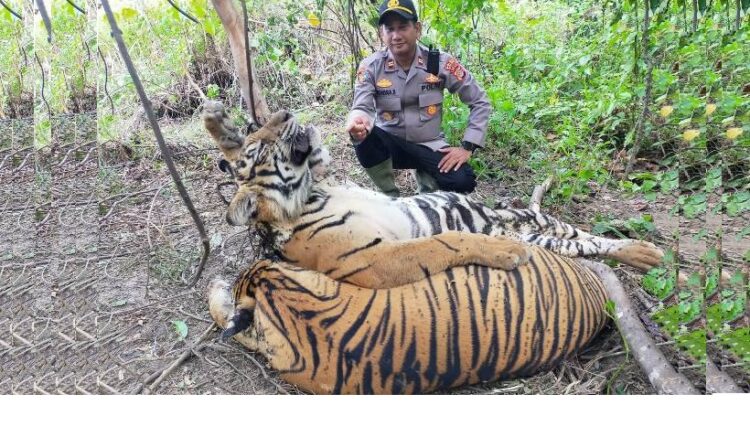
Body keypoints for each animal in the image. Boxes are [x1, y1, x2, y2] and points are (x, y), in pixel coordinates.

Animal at [202, 101, 664, 289]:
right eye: (259, 145)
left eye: (260, 133)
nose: (282, 113)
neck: (313, 195)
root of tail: (511, 218)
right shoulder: (375, 259)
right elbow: (448, 240)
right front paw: (505, 254)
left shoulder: (329, 176)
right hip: (539, 234)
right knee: (581, 244)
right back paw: (646, 255)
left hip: (538, 219)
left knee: (589, 236)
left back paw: (645, 250)